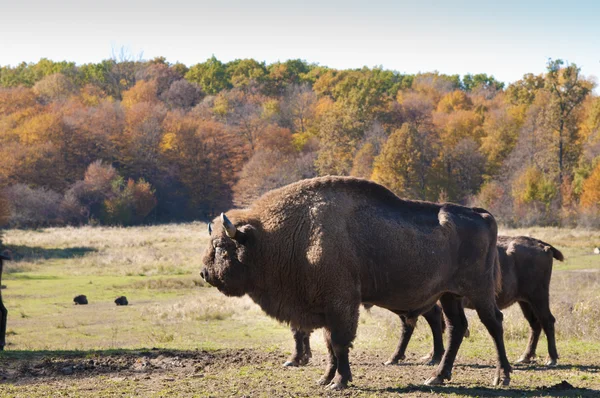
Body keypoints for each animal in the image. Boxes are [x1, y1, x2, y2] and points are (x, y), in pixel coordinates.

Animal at [202, 176, 510, 388]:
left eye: (220, 246)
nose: (205, 273)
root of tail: (481, 214)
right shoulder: (324, 307)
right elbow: (329, 345)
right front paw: (324, 379)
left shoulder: (341, 304)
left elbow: (339, 343)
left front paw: (340, 382)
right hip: (449, 295)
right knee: (456, 328)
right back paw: (437, 376)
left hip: (479, 292)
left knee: (493, 323)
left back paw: (502, 377)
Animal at [286, 236, 564, 370]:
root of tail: (542, 245)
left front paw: (297, 358)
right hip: (525, 301)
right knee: (535, 325)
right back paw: (525, 357)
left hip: (538, 297)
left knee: (547, 321)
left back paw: (551, 358)